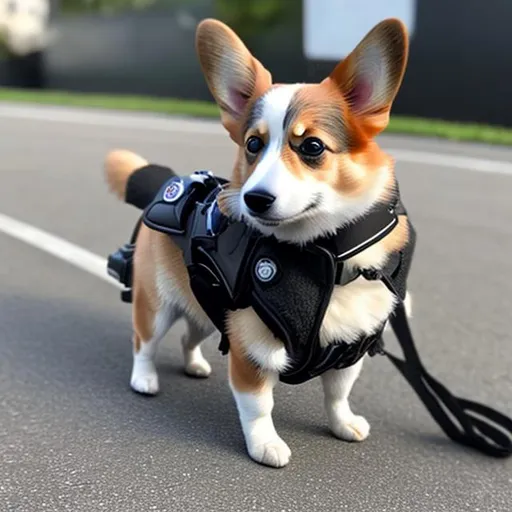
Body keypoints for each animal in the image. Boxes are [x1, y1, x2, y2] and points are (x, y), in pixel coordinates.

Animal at [103, 19, 412, 468]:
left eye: (312, 146)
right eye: (253, 144)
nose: (255, 199)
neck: (325, 256)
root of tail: (173, 183)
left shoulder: (348, 351)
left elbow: (338, 394)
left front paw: (343, 424)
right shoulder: (252, 352)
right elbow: (258, 406)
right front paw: (265, 444)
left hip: (206, 309)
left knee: (189, 336)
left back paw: (195, 365)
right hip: (155, 303)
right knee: (144, 340)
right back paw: (144, 378)